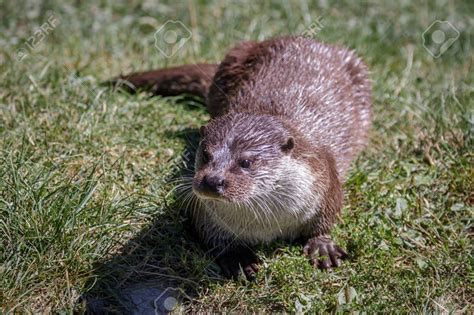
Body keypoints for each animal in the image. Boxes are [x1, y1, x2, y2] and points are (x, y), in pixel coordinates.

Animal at [113, 36, 372, 278]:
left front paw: (322, 245)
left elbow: (327, 217)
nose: (212, 180)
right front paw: (238, 257)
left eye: (246, 162)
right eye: (205, 155)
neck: (268, 226)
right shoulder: (204, 212)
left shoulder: (325, 179)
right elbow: (211, 235)